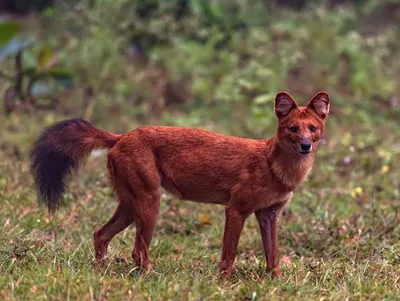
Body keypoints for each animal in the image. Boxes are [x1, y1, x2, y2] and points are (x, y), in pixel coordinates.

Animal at [30, 91, 332, 276]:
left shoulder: (268, 215)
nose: (305, 146)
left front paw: (275, 281)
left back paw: (103, 272)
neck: (277, 167)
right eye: (293, 129)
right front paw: (223, 285)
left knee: (100, 234)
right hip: (150, 203)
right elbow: (229, 254)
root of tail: (121, 135)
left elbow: (274, 256)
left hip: (130, 205)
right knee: (137, 251)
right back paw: (149, 277)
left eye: (312, 129)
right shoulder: (236, 209)